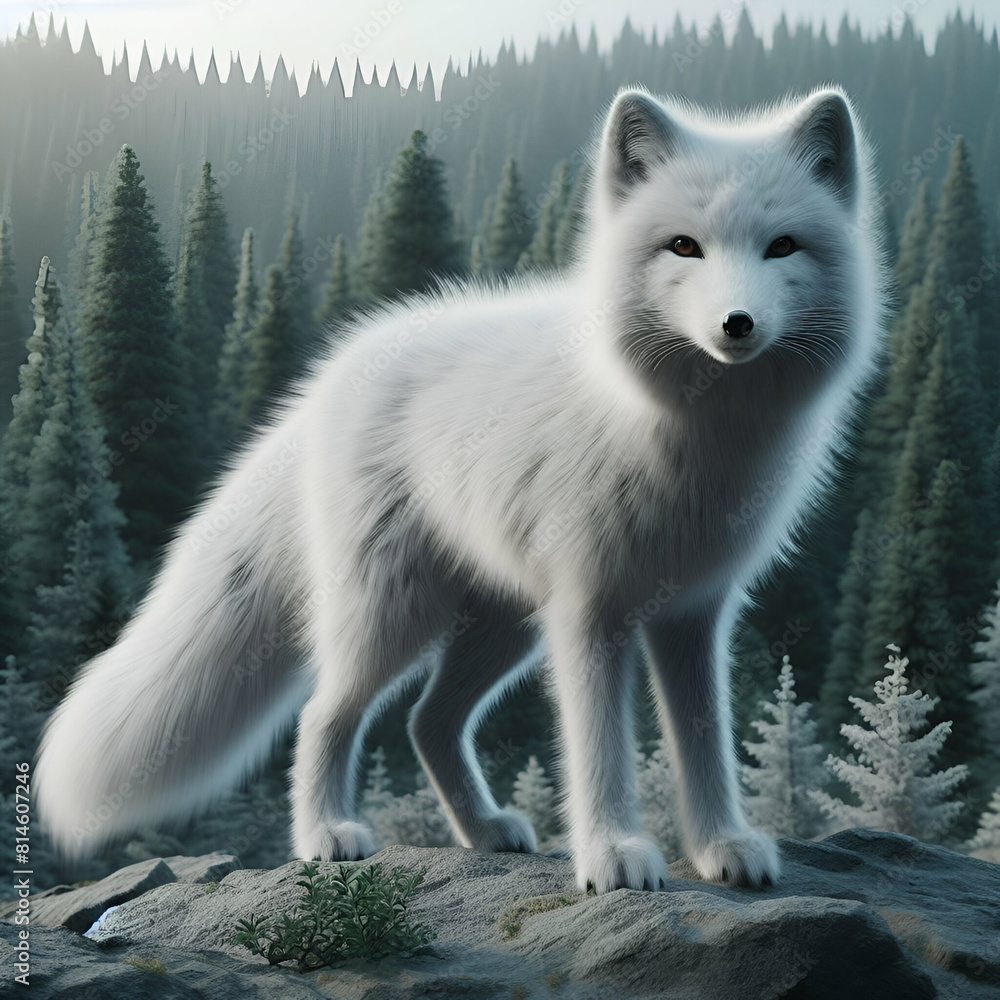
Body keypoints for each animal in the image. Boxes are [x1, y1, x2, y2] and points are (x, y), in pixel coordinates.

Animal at [36, 85, 885, 893]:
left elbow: (705, 743)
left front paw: (719, 848)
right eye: (684, 246)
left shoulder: (693, 613)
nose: (737, 323)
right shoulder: (591, 612)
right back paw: (325, 836)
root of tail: (332, 375)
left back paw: (482, 830)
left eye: (782, 246)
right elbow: (599, 748)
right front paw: (612, 854)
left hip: (501, 625)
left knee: (427, 723)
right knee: (323, 715)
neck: (684, 434)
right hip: (393, 616)